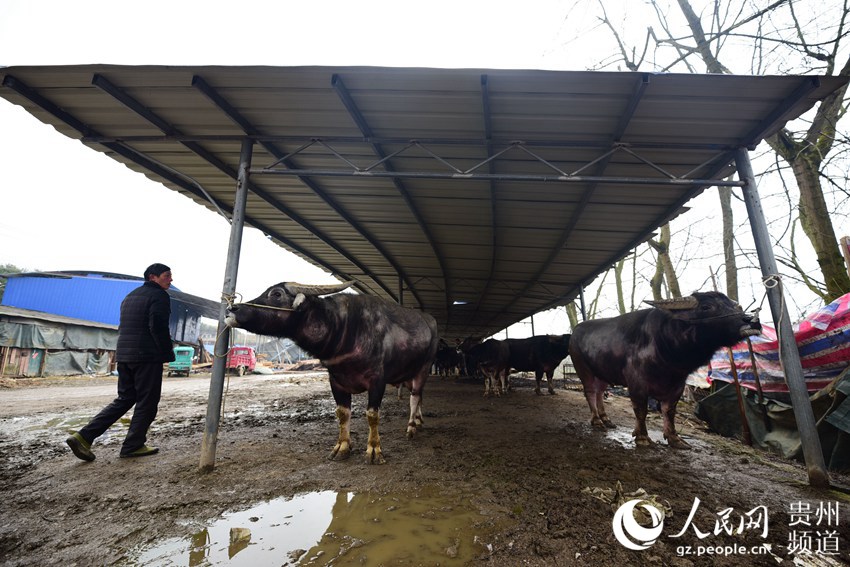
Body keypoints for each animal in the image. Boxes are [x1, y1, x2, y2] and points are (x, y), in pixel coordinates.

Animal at [225, 282, 438, 464]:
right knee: (418, 396)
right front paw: (342, 447)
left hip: (424, 368)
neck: (344, 329)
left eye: (276, 294)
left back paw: (411, 427)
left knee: (415, 396)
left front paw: (374, 450)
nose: (231, 310)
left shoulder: (377, 380)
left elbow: (372, 415)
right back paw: (418, 420)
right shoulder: (335, 381)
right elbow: (343, 413)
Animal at [568, 292, 760, 448]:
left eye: (735, 307)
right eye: (706, 307)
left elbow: (669, 411)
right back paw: (596, 421)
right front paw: (642, 437)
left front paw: (674, 438)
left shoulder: (677, 385)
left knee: (600, 392)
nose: (752, 321)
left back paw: (606, 419)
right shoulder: (636, 382)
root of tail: (575, 331)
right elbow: (641, 409)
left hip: (602, 372)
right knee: (590, 392)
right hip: (583, 369)